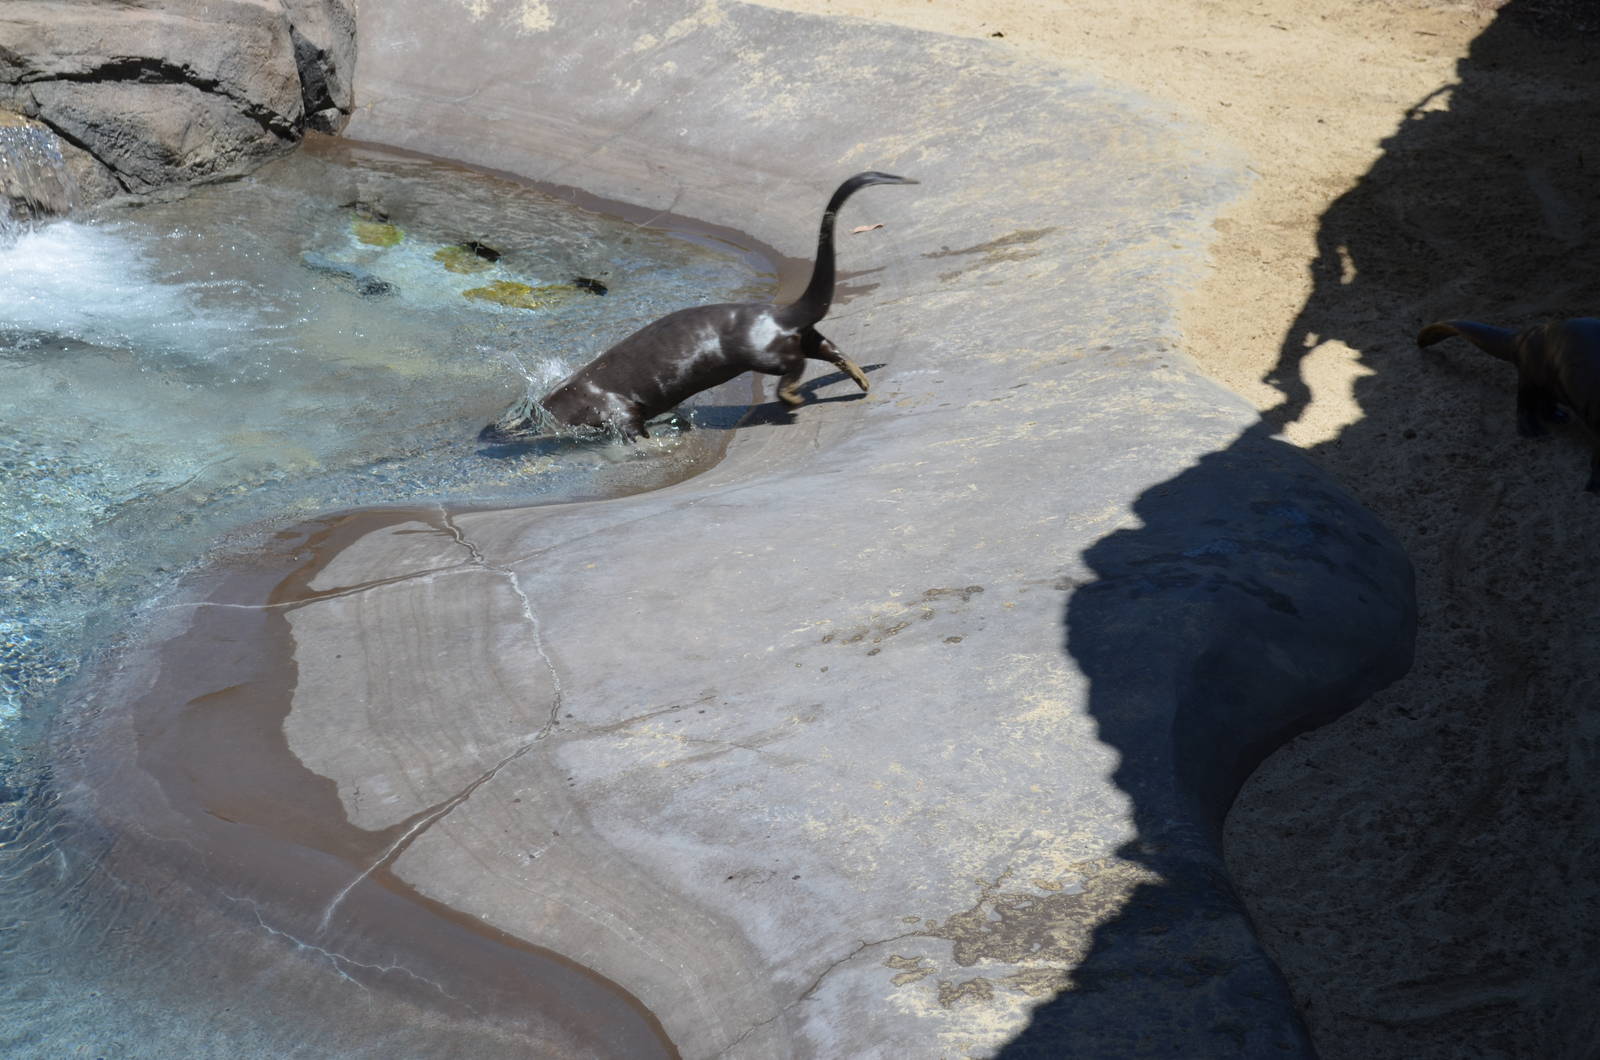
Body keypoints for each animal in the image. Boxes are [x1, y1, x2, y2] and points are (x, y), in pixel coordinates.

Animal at [481, 171, 917, 442]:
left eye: (513, 426)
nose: (488, 433)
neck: (576, 398)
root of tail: (775, 314)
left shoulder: (614, 408)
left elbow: (631, 427)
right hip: (800, 334)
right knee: (826, 346)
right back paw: (860, 379)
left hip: (764, 352)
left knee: (795, 365)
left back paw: (792, 398)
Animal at [1418, 317, 1600, 492]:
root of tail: (1527, 334)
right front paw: (1594, 486)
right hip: (1530, 372)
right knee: (1524, 401)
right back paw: (1531, 428)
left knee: (1546, 399)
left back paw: (1558, 416)